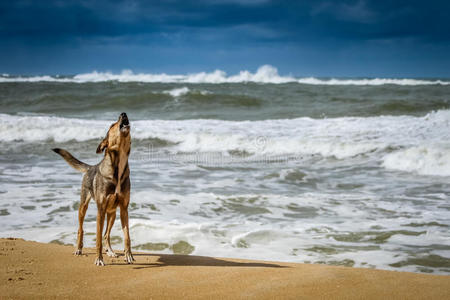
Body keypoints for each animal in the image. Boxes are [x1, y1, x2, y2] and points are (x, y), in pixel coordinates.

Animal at [52, 112, 133, 264]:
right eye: (112, 125)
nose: (123, 114)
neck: (118, 167)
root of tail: (90, 167)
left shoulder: (124, 209)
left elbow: (127, 236)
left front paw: (129, 255)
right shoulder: (100, 210)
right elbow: (98, 239)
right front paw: (99, 259)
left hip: (112, 213)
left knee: (107, 234)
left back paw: (111, 251)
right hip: (83, 206)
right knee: (81, 229)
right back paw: (79, 249)